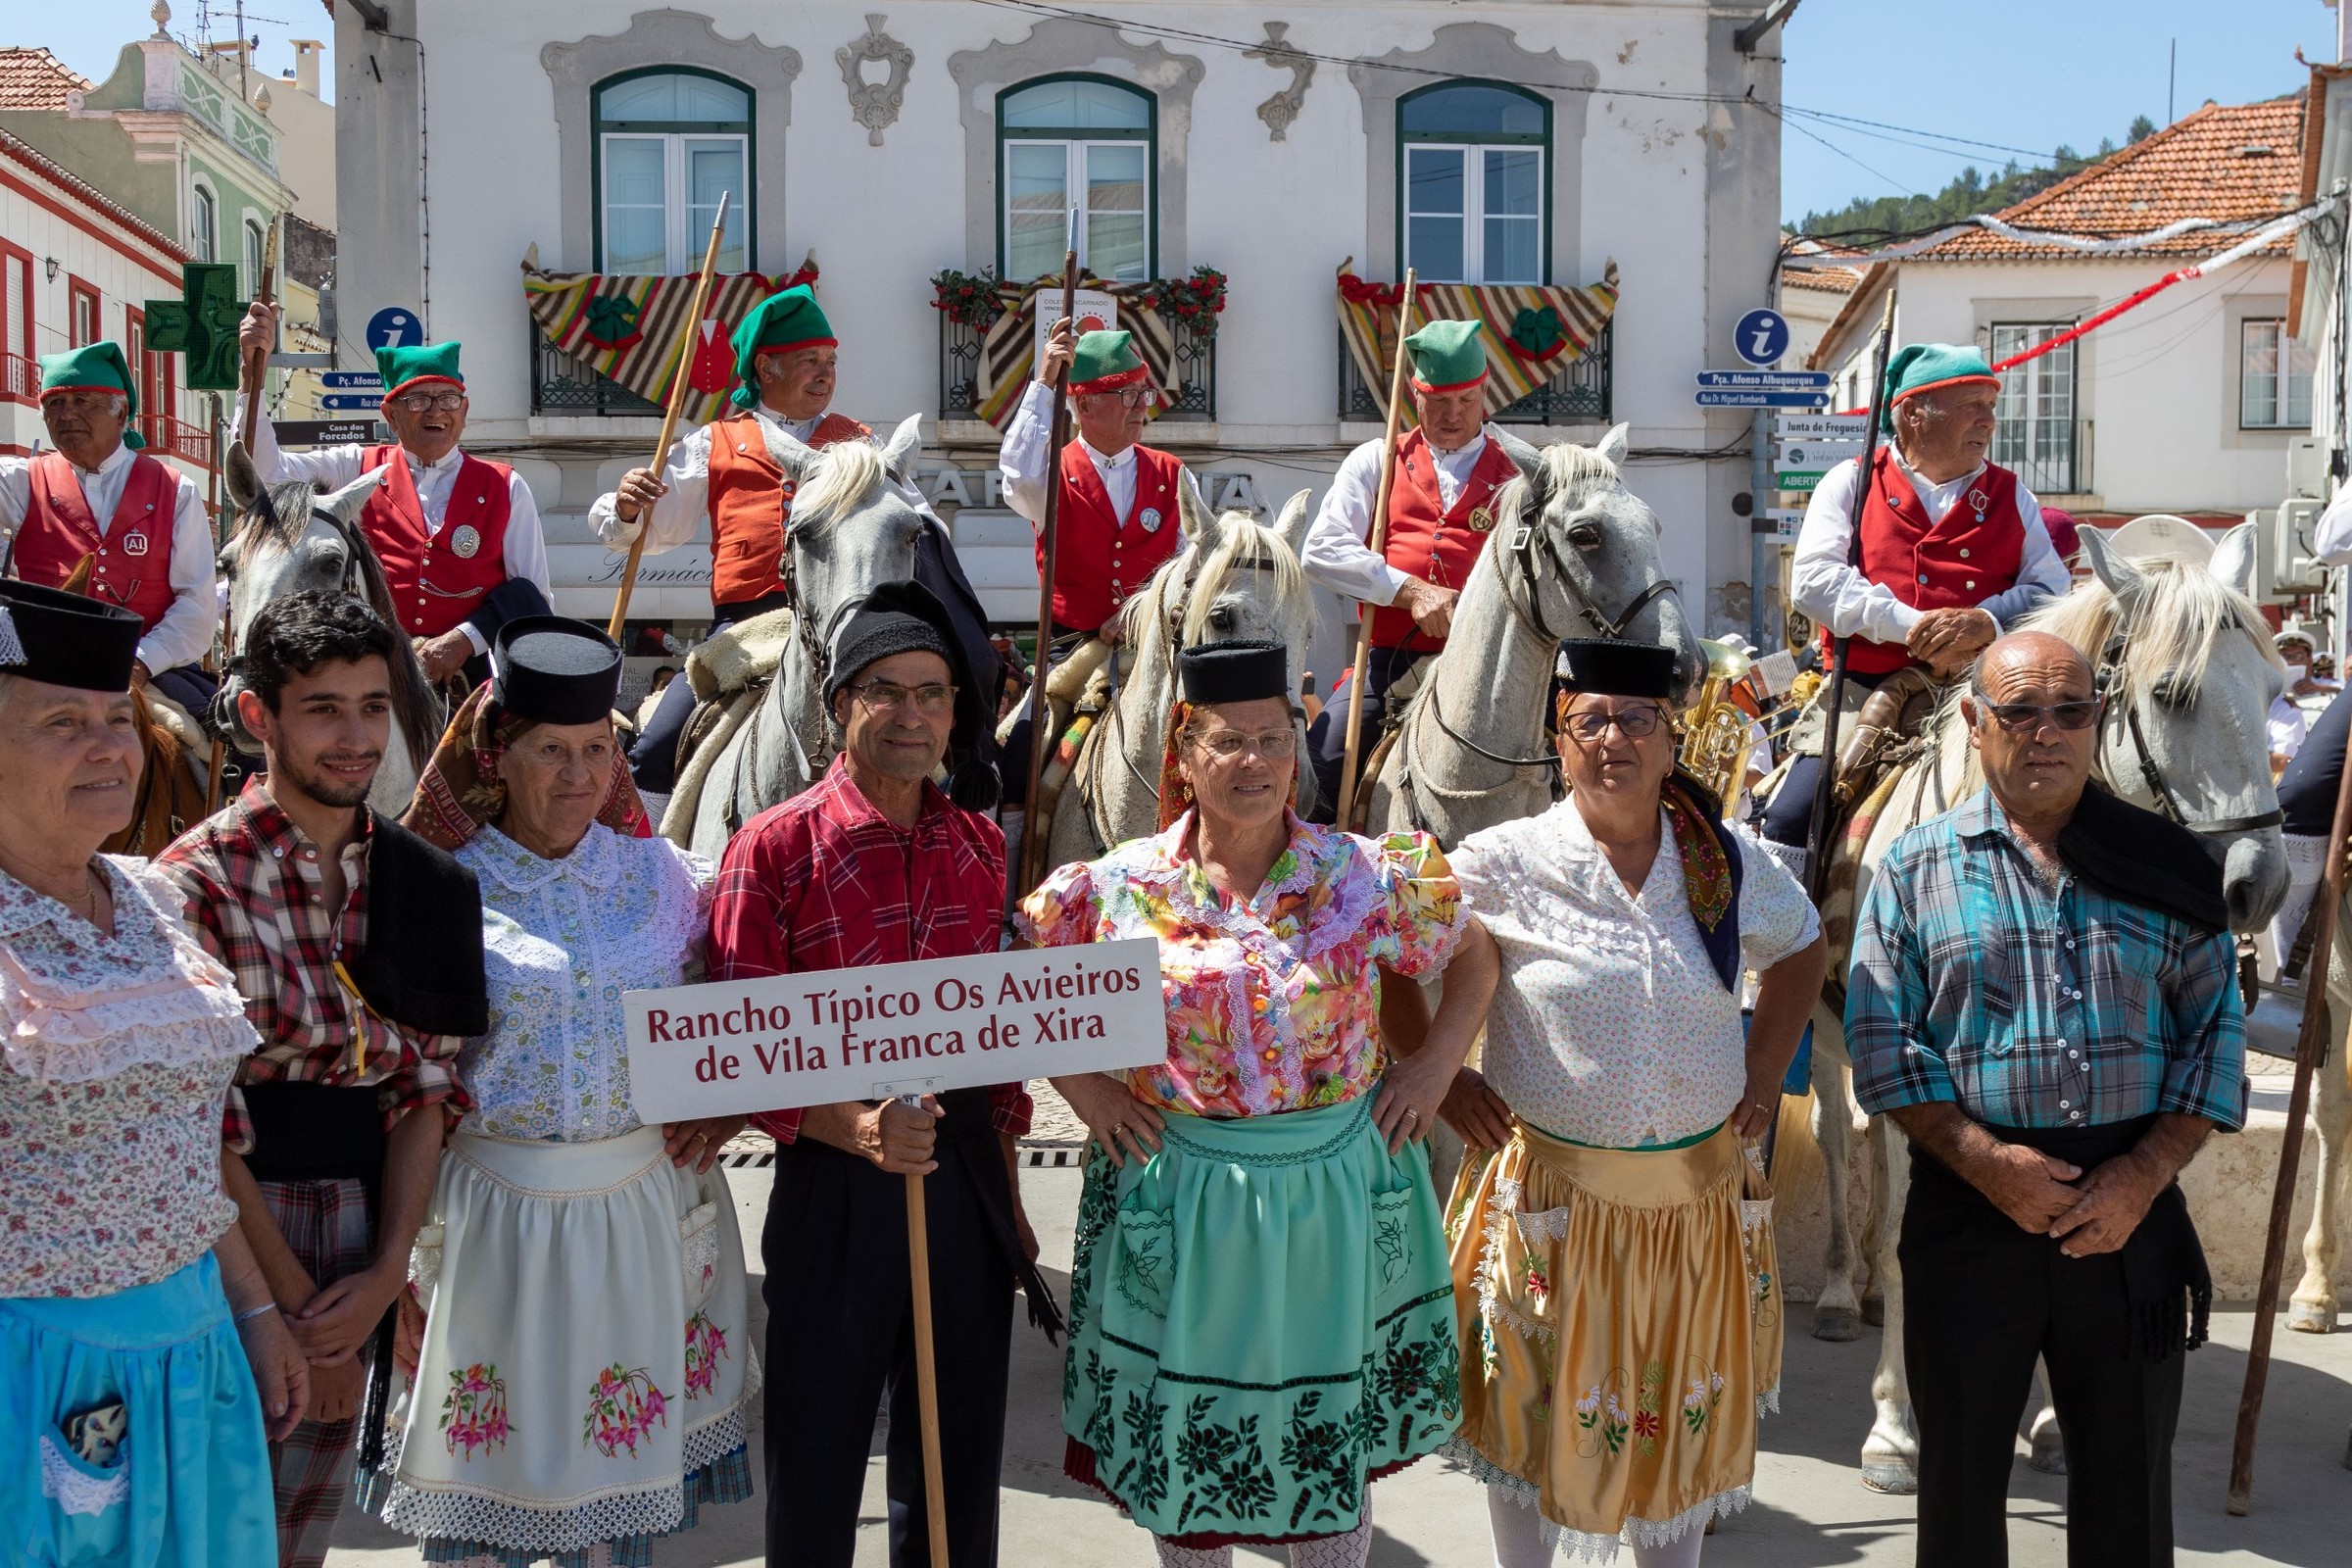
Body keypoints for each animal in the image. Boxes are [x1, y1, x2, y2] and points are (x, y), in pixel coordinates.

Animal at [1788, 521, 2285, 1494]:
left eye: (2274, 690)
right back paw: (1834, 1290)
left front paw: (2054, 1422)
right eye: (2172, 693)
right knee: (1834, 1138)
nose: (2262, 885)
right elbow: (1904, 1236)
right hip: (1825, 1039)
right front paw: (1895, 1431)